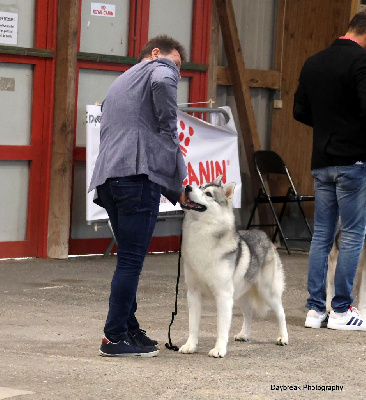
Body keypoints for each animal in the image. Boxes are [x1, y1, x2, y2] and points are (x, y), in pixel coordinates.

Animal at [178, 177, 288, 358]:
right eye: (200, 186)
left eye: (208, 194)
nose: (187, 187)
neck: (202, 233)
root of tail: (264, 235)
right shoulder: (193, 294)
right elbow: (192, 325)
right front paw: (190, 345)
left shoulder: (223, 296)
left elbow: (221, 327)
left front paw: (219, 349)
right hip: (238, 294)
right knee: (248, 312)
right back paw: (244, 334)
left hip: (267, 292)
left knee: (280, 313)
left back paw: (283, 337)